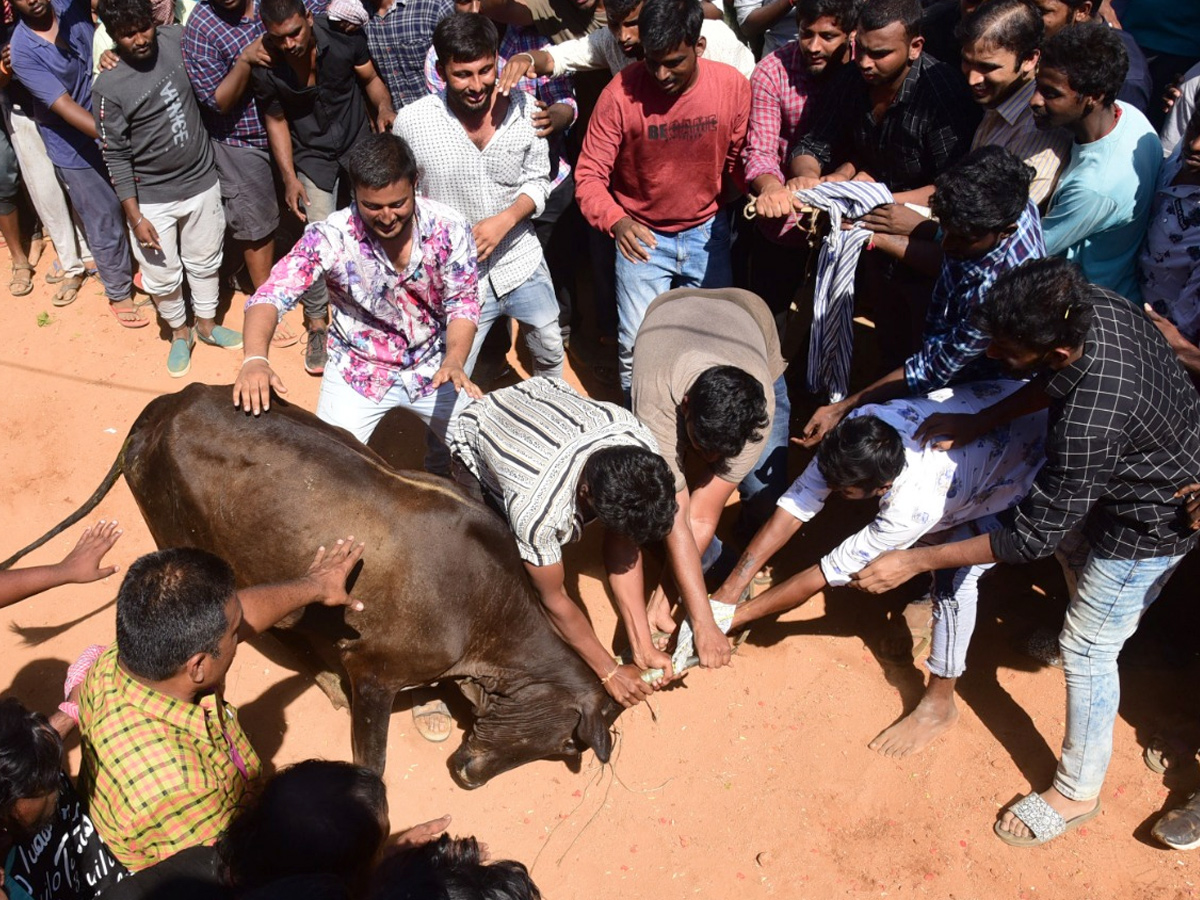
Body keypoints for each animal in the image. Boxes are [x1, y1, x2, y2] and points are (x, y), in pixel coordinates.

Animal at [7, 386, 628, 787]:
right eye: (566, 741)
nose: (468, 776)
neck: (483, 614)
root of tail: (161, 411)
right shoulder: (374, 673)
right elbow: (372, 763)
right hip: (185, 542)